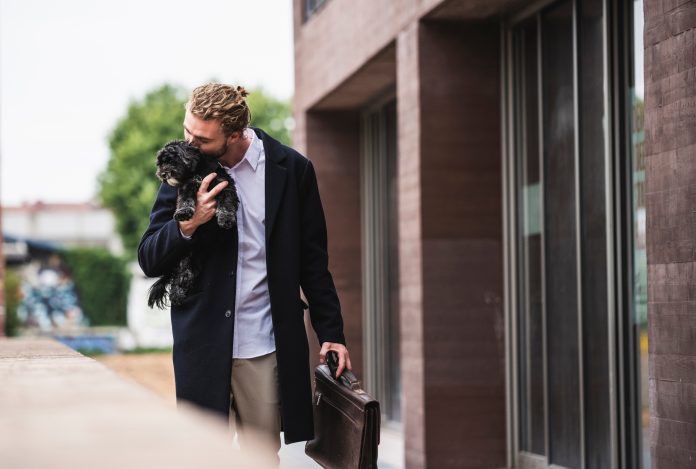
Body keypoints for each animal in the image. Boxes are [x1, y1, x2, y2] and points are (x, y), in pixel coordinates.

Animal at [147, 139, 239, 308]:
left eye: (171, 160)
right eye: (160, 163)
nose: (162, 174)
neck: (198, 172)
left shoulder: (224, 185)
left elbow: (226, 202)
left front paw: (226, 218)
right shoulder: (187, 187)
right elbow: (185, 201)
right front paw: (183, 212)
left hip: (194, 260)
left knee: (186, 276)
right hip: (185, 260)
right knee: (181, 278)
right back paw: (176, 295)